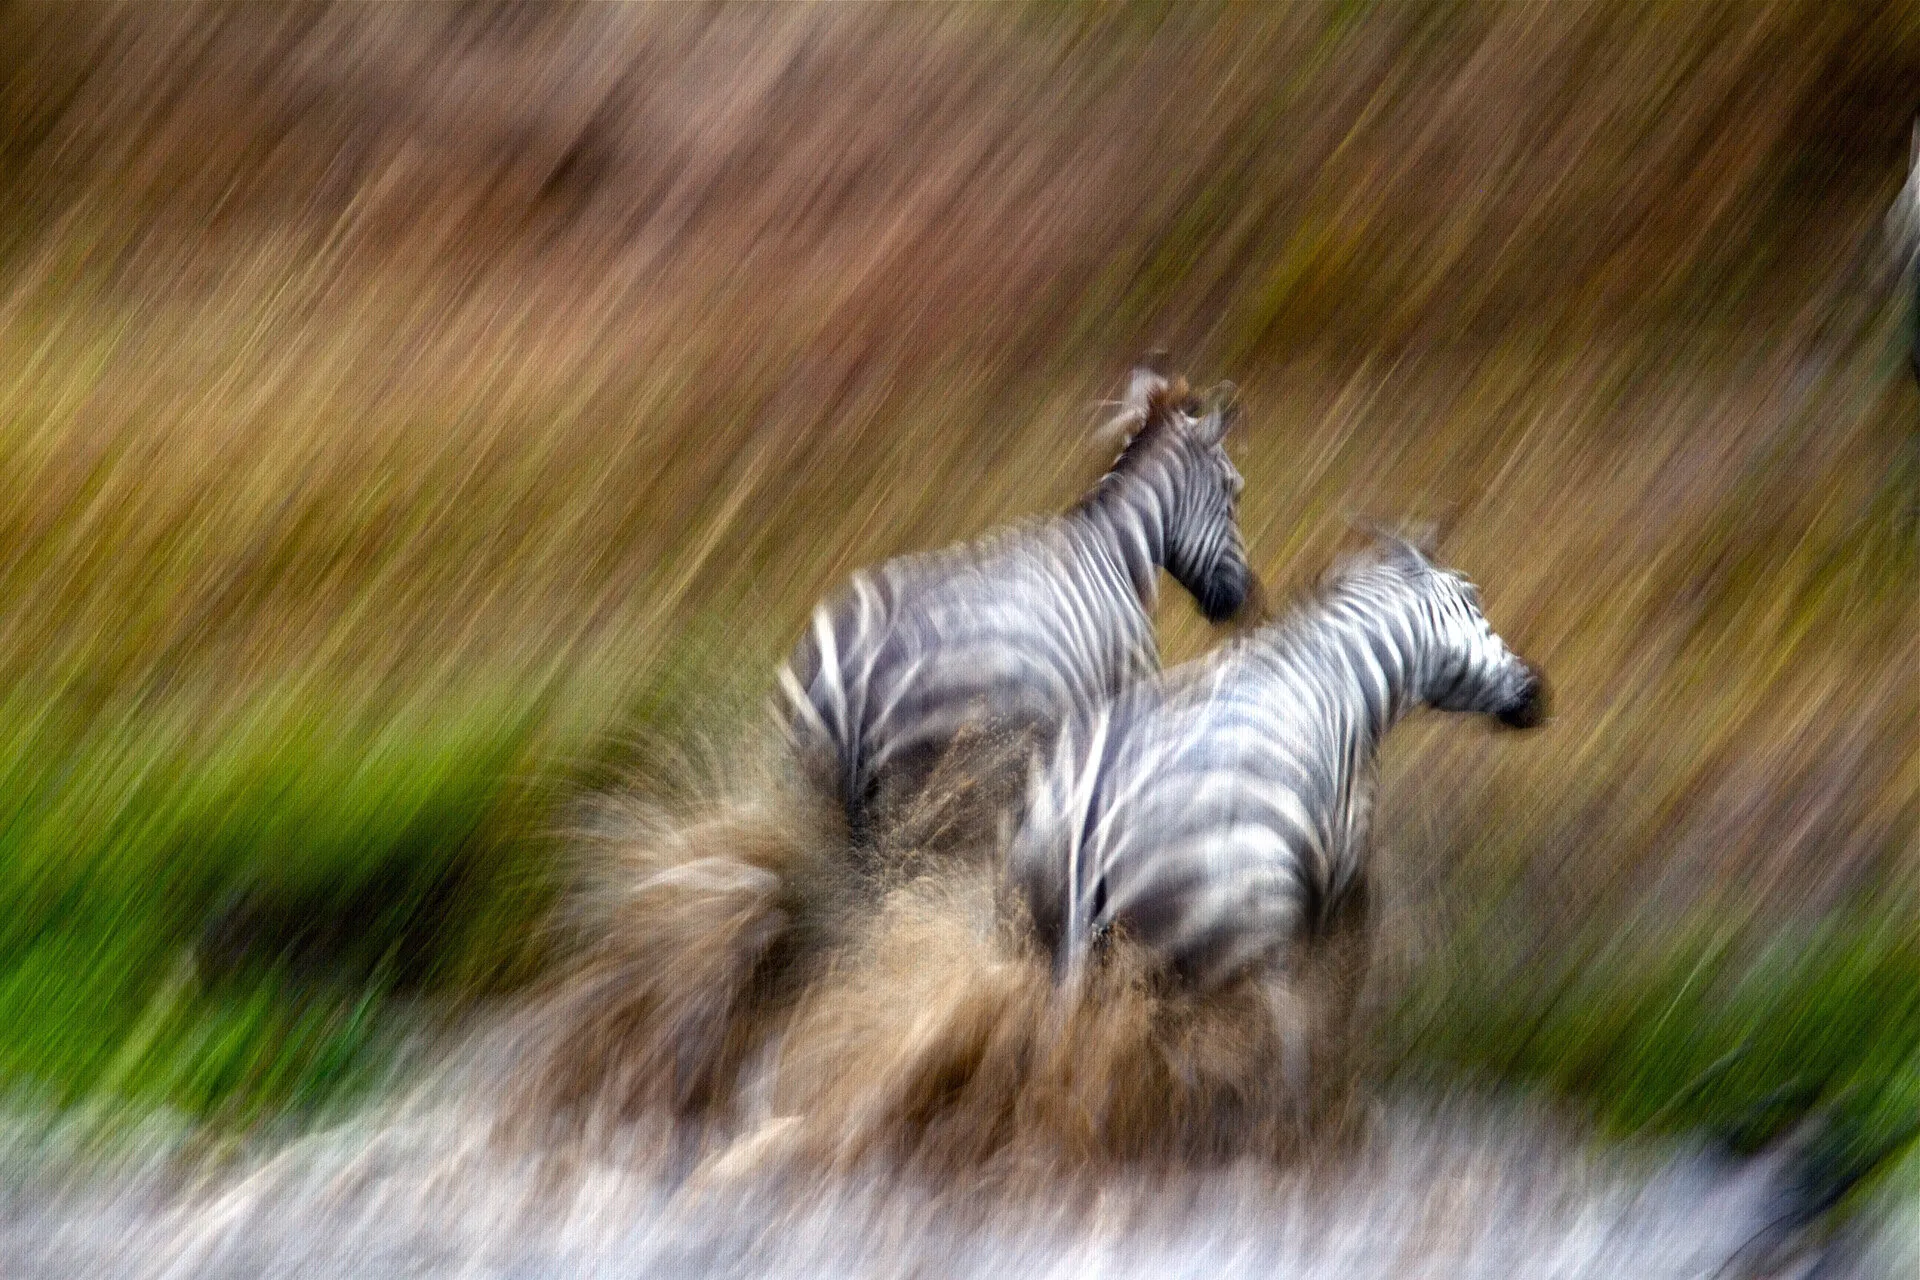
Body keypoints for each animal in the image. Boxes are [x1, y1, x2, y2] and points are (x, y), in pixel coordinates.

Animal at [778, 357, 1254, 852]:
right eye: (1234, 491)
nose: (1243, 599)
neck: (1118, 551)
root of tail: (856, 670)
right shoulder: (1129, 684)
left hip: (811, 794)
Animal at [1006, 527, 1546, 1093]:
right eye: (1473, 600)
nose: (1537, 695)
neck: (1342, 682)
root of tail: (1092, 812)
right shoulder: (1339, 878)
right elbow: (1333, 993)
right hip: (1226, 944)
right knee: (1245, 1046)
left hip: (1054, 941)